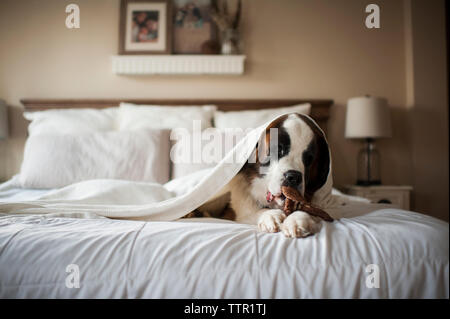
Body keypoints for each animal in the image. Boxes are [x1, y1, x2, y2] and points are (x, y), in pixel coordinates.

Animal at [197, 114, 330, 239]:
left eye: (308, 159)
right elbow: (252, 212)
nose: (294, 176)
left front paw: (298, 219)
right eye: (279, 150)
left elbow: (313, 210)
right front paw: (271, 215)